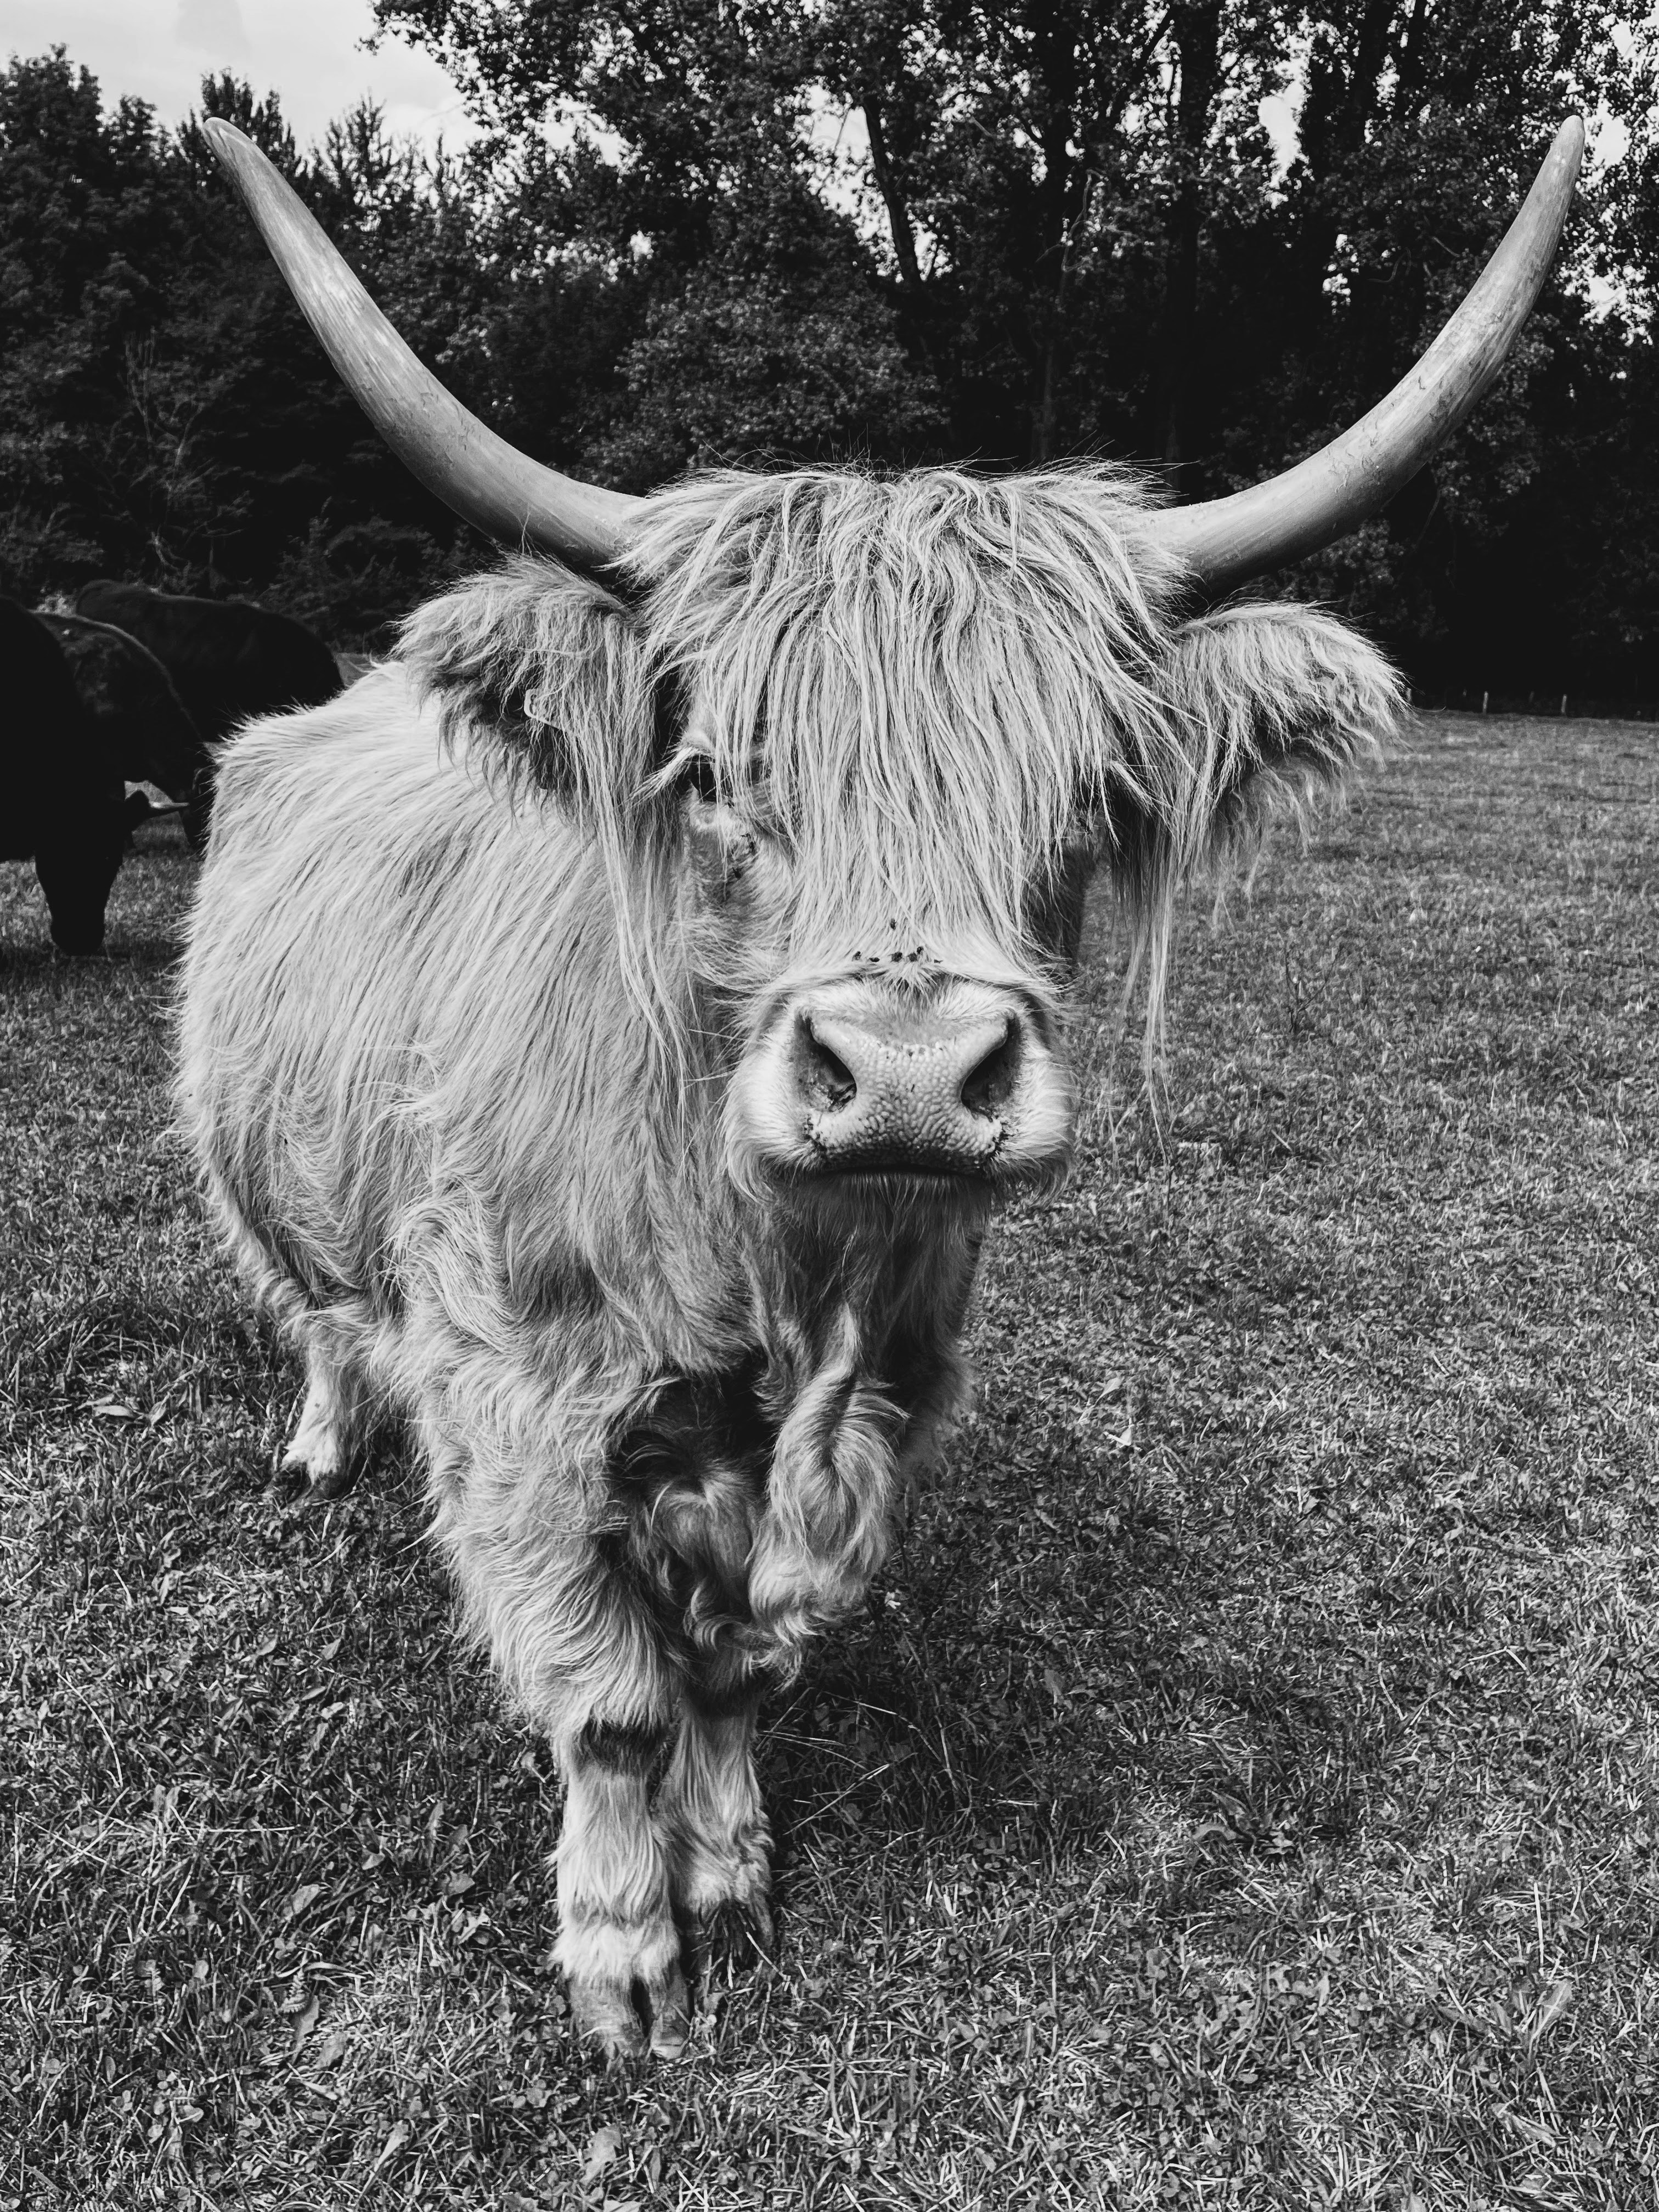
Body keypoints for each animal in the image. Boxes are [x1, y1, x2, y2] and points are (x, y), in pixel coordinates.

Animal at [177, 119, 1583, 2059]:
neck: (772, 1272)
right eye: (714, 773)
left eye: (1088, 795)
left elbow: (737, 1664)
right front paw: (627, 1950)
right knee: (308, 1301)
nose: (910, 1078)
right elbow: (612, 1697)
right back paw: (320, 1437)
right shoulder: (515, 1397)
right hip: (266, 1166)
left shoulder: (883, 1390)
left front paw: (733, 1865)